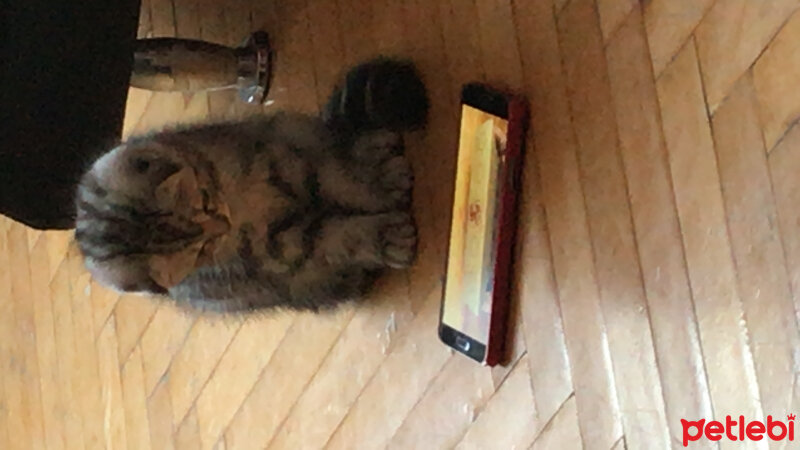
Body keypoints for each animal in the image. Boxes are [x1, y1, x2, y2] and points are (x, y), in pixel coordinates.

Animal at [77, 58, 428, 312]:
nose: (223, 224)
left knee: (338, 141)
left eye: (205, 202)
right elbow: (338, 236)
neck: (240, 200)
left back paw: (374, 152)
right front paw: (387, 235)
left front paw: (378, 185)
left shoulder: (283, 156)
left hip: (292, 127)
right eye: (202, 249)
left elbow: (335, 176)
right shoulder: (280, 250)